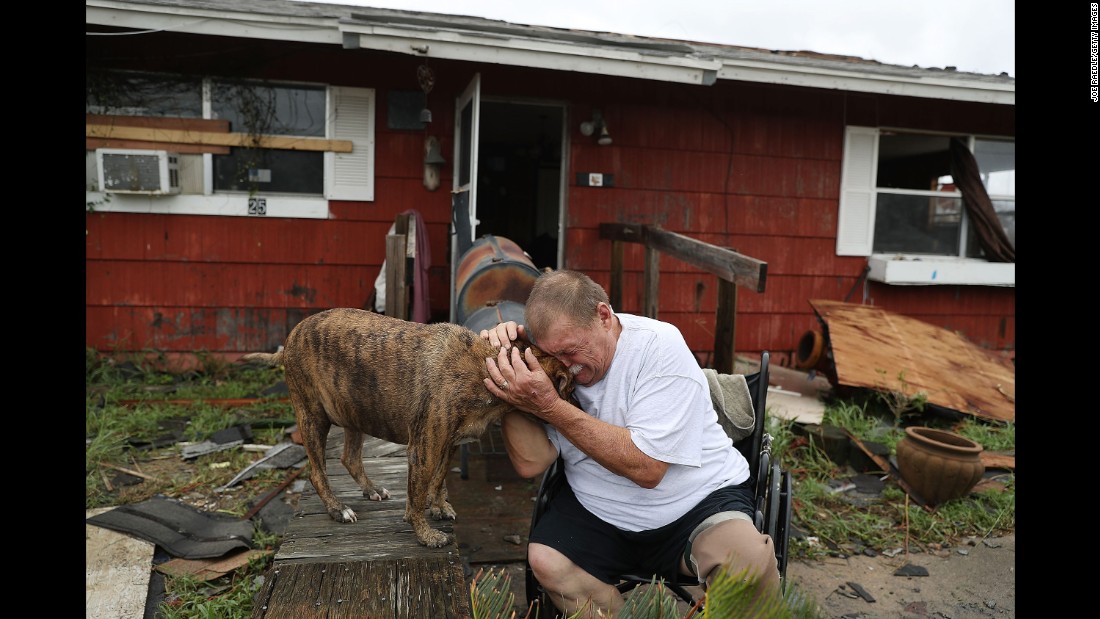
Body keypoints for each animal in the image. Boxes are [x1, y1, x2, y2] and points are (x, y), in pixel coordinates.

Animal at [243, 307, 576, 547]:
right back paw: (337, 509)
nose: (577, 406)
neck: (489, 365)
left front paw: (438, 506)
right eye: (570, 387)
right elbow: (416, 495)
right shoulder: (424, 450)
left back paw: (371, 489)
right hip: (312, 417)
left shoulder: (448, 444)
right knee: (316, 472)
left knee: (350, 458)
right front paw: (425, 534)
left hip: (353, 411)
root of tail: (291, 338)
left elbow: (438, 480)